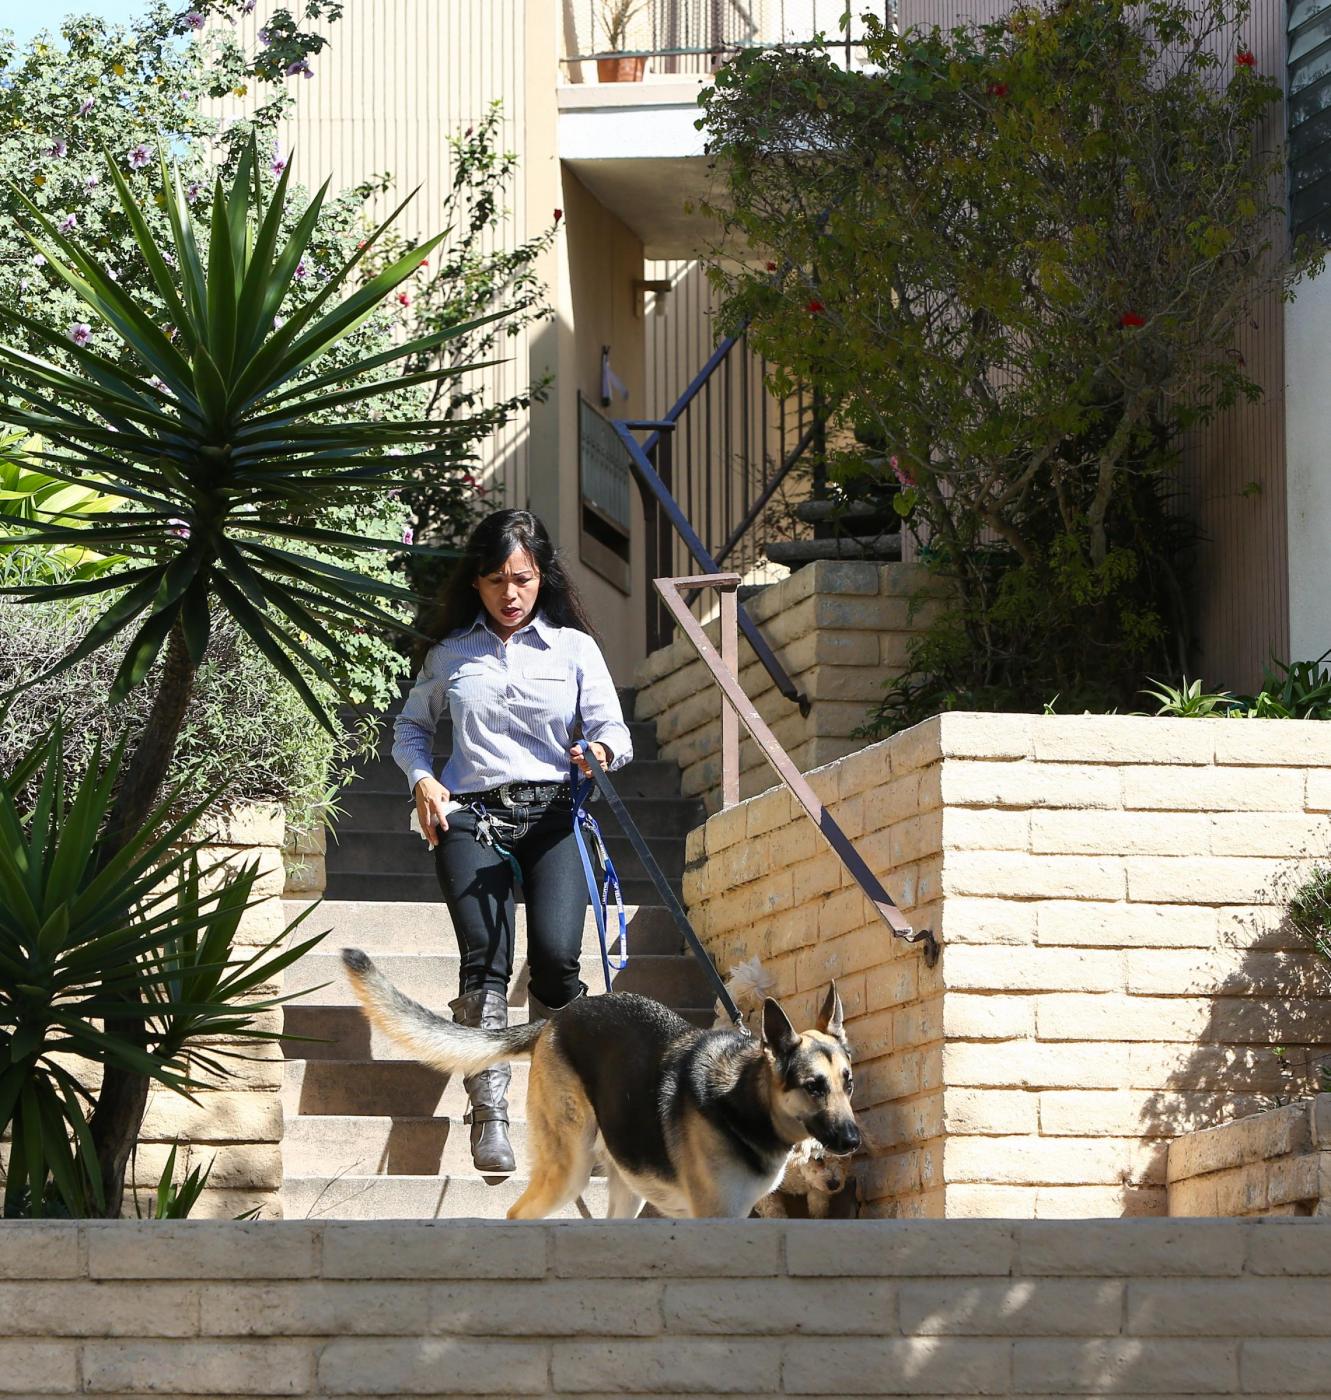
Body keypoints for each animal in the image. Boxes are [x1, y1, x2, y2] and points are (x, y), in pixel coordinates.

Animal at [341, 948, 861, 1220]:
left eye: (847, 1083)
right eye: (813, 1086)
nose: (854, 1141)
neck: (743, 1102)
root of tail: (558, 1019)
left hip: (624, 1187)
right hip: (567, 1166)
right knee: (517, 1215)